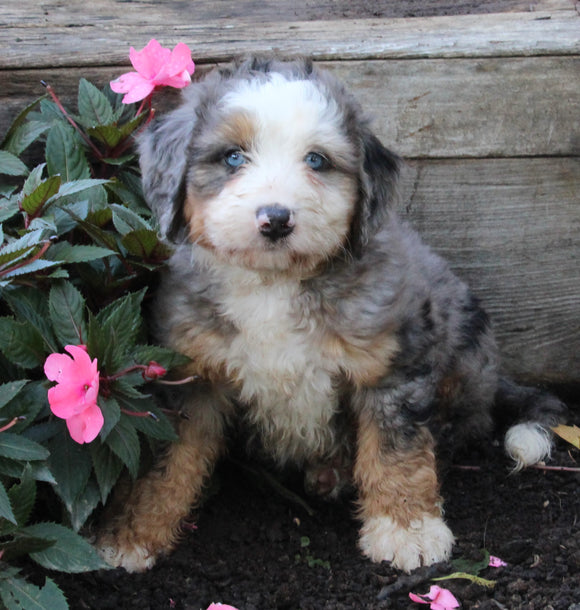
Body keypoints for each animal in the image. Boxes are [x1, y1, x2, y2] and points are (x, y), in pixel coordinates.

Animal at [98, 55, 568, 568]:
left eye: (317, 160)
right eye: (233, 157)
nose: (276, 219)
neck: (274, 283)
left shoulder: (392, 363)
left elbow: (397, 447)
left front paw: (407, 529)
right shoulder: (190, 373)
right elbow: (164, 460)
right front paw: (132, 533)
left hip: (463, 336)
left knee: (461, 426)